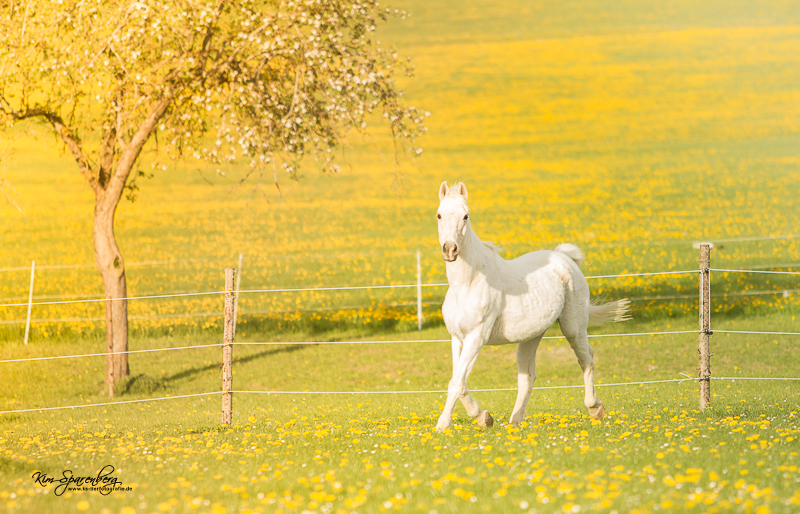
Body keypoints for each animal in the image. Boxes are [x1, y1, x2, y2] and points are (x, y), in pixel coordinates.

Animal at [434, 180, 628, 428]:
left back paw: (595, 408)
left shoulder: (477, 337)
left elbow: (457, 383)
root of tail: (565, 258)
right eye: (439, 215)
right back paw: (515, 422)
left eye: (465, 216)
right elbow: (459, 382)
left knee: (586, 358)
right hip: (530, 336)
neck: (468, 283)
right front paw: (478, 418)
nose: (450, 249)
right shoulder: (458, 338)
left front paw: (452, 423)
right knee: (528, 376)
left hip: (573, 328)